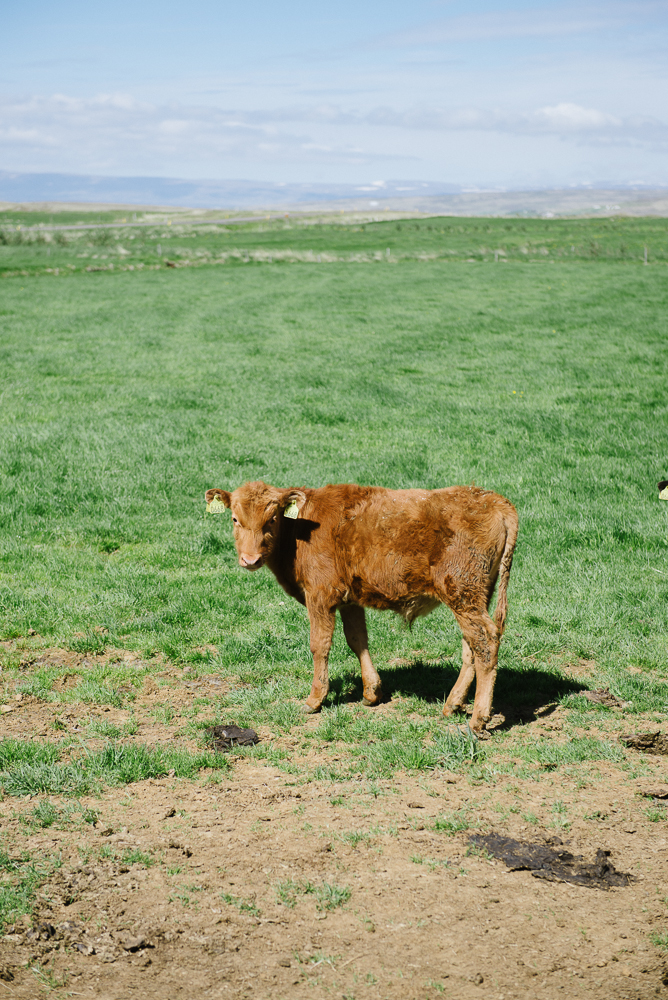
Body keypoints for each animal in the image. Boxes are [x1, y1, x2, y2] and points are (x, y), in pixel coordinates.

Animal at [204, 481, 518, 733]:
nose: (250, 559)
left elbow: (319, 645)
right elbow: (357, 640)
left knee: (485, 642)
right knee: (471, 647)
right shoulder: (349, 599)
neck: (300, 529)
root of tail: (492, 499)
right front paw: (371, 692)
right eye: (235, 518)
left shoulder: (319, 595)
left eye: (271, 519)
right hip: (474, 596)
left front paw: (315, 699)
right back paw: (453, 704)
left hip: (462, 593)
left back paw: (478, 719)